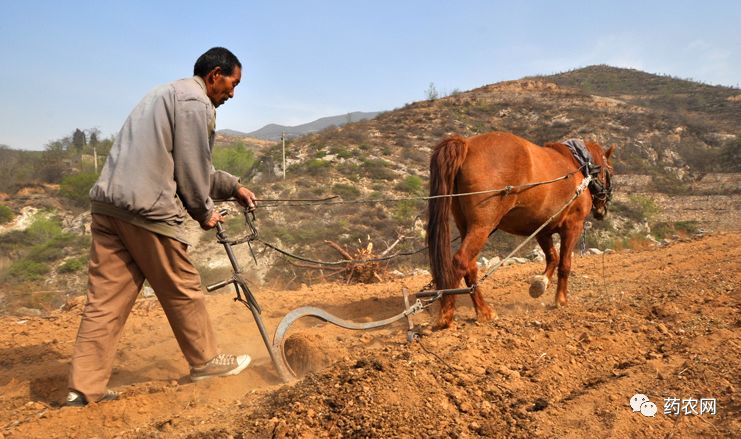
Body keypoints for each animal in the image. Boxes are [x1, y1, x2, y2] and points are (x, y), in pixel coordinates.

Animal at [428, 132, 612, 328]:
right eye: (609, 171)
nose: (602, 210)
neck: (578, 165)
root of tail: (467, 144)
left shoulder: (542, 229)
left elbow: (552, 258)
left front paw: (540, 284)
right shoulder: (573, 225)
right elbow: (564, 263)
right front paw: (560, 300)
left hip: (466, 227)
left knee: (470, 267)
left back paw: (484, 311)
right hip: (482, 226)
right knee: (460, 262)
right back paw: (446, 315)